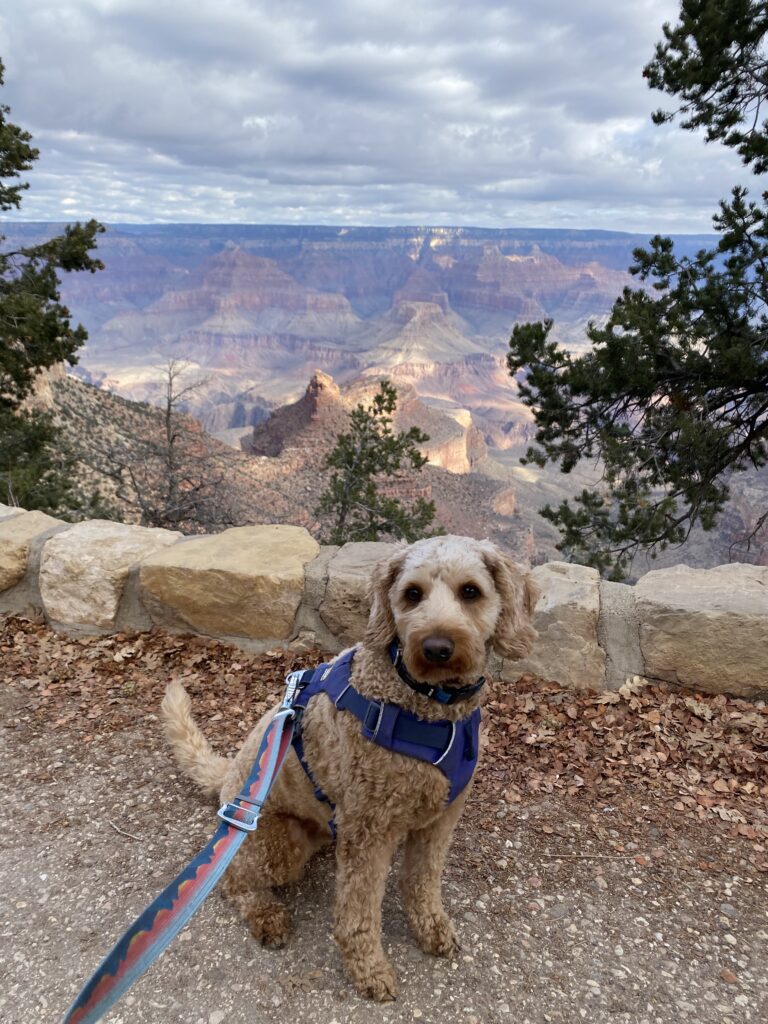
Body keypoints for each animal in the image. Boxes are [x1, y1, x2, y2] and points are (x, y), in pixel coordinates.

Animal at [161, 536, 536, 999]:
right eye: (412, 594)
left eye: (471, 592)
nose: (436, 648)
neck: (428, 708)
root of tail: (231, 780)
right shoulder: (368, 831)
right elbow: (358, 912)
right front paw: (368, 969)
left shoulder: (440, 820)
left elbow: (422, 880)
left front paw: (431, 927)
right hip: (279, 846)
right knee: (231, 879)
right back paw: (266, 914)